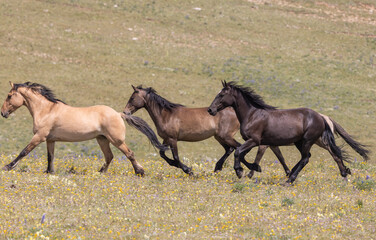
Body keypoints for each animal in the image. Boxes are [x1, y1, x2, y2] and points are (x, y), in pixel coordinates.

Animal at [0, 82, 167, 174]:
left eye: (9, 96)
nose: (3, 113)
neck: (46, 110)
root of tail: (119, 114)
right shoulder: (50, 140)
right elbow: (50, 157)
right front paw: (49, 171)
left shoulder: (39, 137)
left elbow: (24, 152)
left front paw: (7, 167)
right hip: (102, 140)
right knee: (109, 157)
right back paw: (101, 172)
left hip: (116, 140)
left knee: (129, 154)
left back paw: (140, 172)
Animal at [123, 85, 290, 175]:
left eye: (132, 98)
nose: (125, 112)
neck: (166, 114)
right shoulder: (166, 139)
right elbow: (163, 154)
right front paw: (179, 166)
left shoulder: (173, 139)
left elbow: (175, 156)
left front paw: (188, 170)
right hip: (219, 137)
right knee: (231, 149)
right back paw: (219, 168)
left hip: (225, 136)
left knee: (238, 148)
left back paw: (248, 168)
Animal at [207, 80, 368, 184]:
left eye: (221, 95)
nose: (210, 110)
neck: (252, 115)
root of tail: (321, 116)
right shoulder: (256, 142)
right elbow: (243, 154)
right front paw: (253, 168)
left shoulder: (255, 140)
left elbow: (238, 152)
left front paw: (240, 171)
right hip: (305, 141)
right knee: (330, 153)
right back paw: (344, 172)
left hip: (308, 140)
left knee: (306, 158)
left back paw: (290, 179)